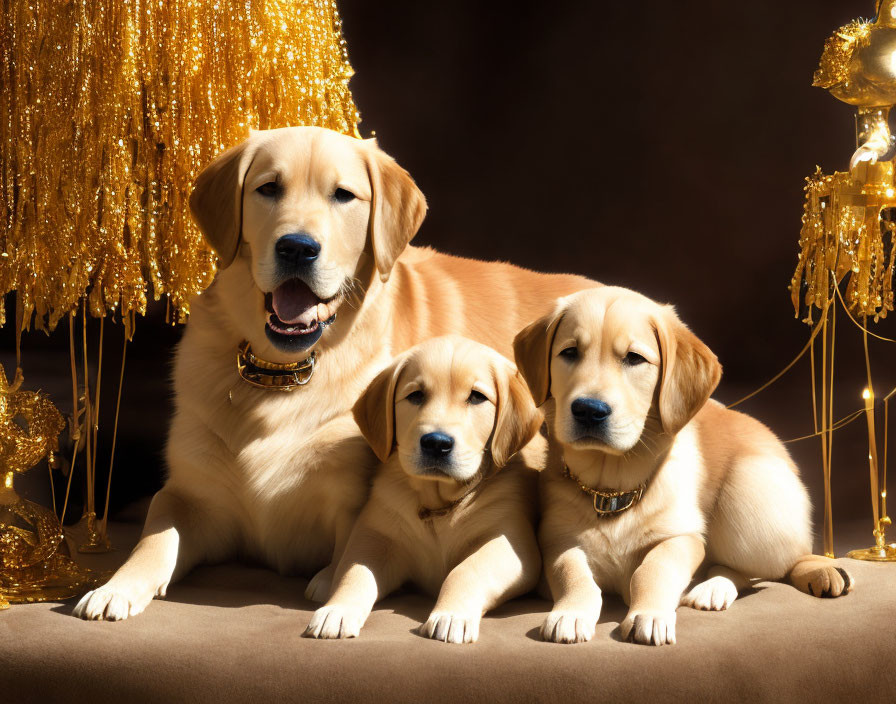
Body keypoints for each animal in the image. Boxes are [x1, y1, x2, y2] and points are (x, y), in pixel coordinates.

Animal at [304, 336, 544, 644]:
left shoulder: (511, 543)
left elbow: (466, 570)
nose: (436, 443)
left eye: (477, 397)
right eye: (416, 396)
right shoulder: (376, 536)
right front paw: (337, 610)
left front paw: (451, 615)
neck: (438, 504)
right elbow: (354, 572)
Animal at [516, 284, 852, 644]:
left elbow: (655, 568)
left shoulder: (683, 536)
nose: (589, 410)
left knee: (778, 564)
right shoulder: (558, 539)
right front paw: (572, 612)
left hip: (748, 503)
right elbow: (572, 571)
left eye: (634, 358)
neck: (610, 490)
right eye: (569, 353)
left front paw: (649, 614)